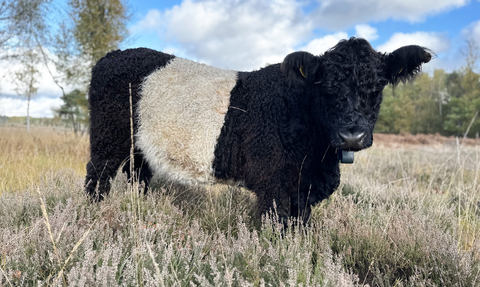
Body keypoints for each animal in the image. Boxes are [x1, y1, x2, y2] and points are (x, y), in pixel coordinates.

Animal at [85, 37, 432, 223]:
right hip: (107, 139)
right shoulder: (273, 187)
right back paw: (91, 214)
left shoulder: (302, 192)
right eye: (326, 87)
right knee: (97, 176)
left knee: (137, 176)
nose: (352, 135)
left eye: (377, 87)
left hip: (140, 146)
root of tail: (112, 56)